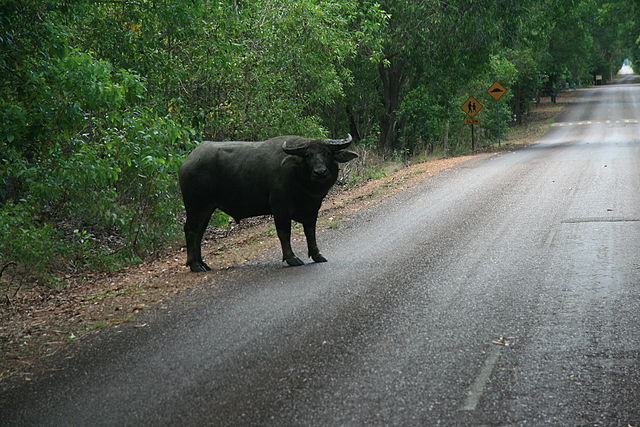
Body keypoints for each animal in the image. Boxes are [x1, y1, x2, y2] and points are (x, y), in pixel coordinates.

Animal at [179, 135, 358, 272]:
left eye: (327, 153)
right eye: (308, 155)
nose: (320, 172)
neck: (298, 179)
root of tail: (187, 162)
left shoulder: (312, 209)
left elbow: (310, 232)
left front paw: (317, 255)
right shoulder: (280, 209)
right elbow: (284, 233)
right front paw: (292, 258)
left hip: (207, 209)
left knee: (199, 232)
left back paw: (202, 263)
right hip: (196, 207)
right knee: (191, 230)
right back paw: (195, 265)